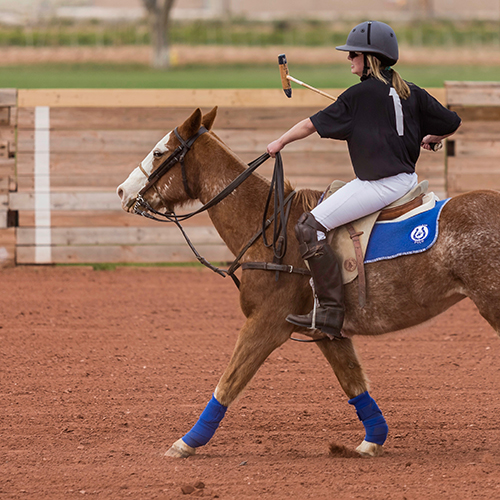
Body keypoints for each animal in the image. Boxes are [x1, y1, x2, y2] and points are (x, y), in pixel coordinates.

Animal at [116, 107, 500, 458]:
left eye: (159, 152)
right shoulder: (327, 331)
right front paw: (370, 442)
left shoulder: (267, 322)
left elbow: (229, 382)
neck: (269, 228)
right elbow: (353, 383)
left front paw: (186, 443)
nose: (121, 191)